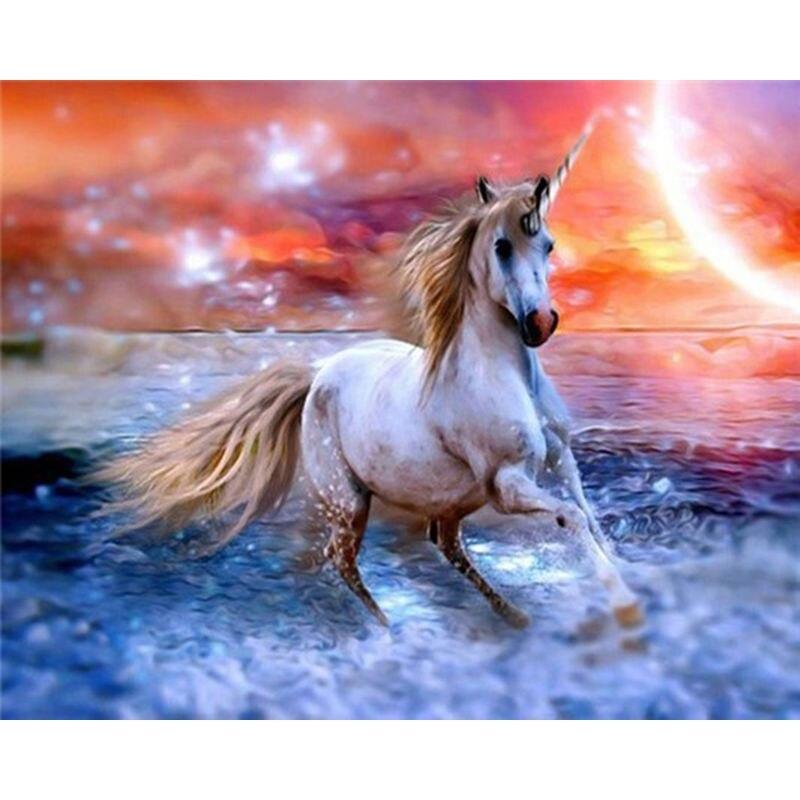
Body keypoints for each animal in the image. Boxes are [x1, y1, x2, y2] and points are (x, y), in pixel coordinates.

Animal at [99, 122, 641, 629]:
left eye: (548, 244)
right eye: (502, 246)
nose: (540, 323)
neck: (508, 375)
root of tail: (318, 373)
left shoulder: (561, 457)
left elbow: (589, 517)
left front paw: (629, 577)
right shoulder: (506, 484)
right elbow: (571, 518)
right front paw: (625, 605)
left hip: (446, 500)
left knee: (445, 544)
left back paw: (512, 615)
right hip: (350, 499)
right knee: (343, 558)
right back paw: (387, 627)